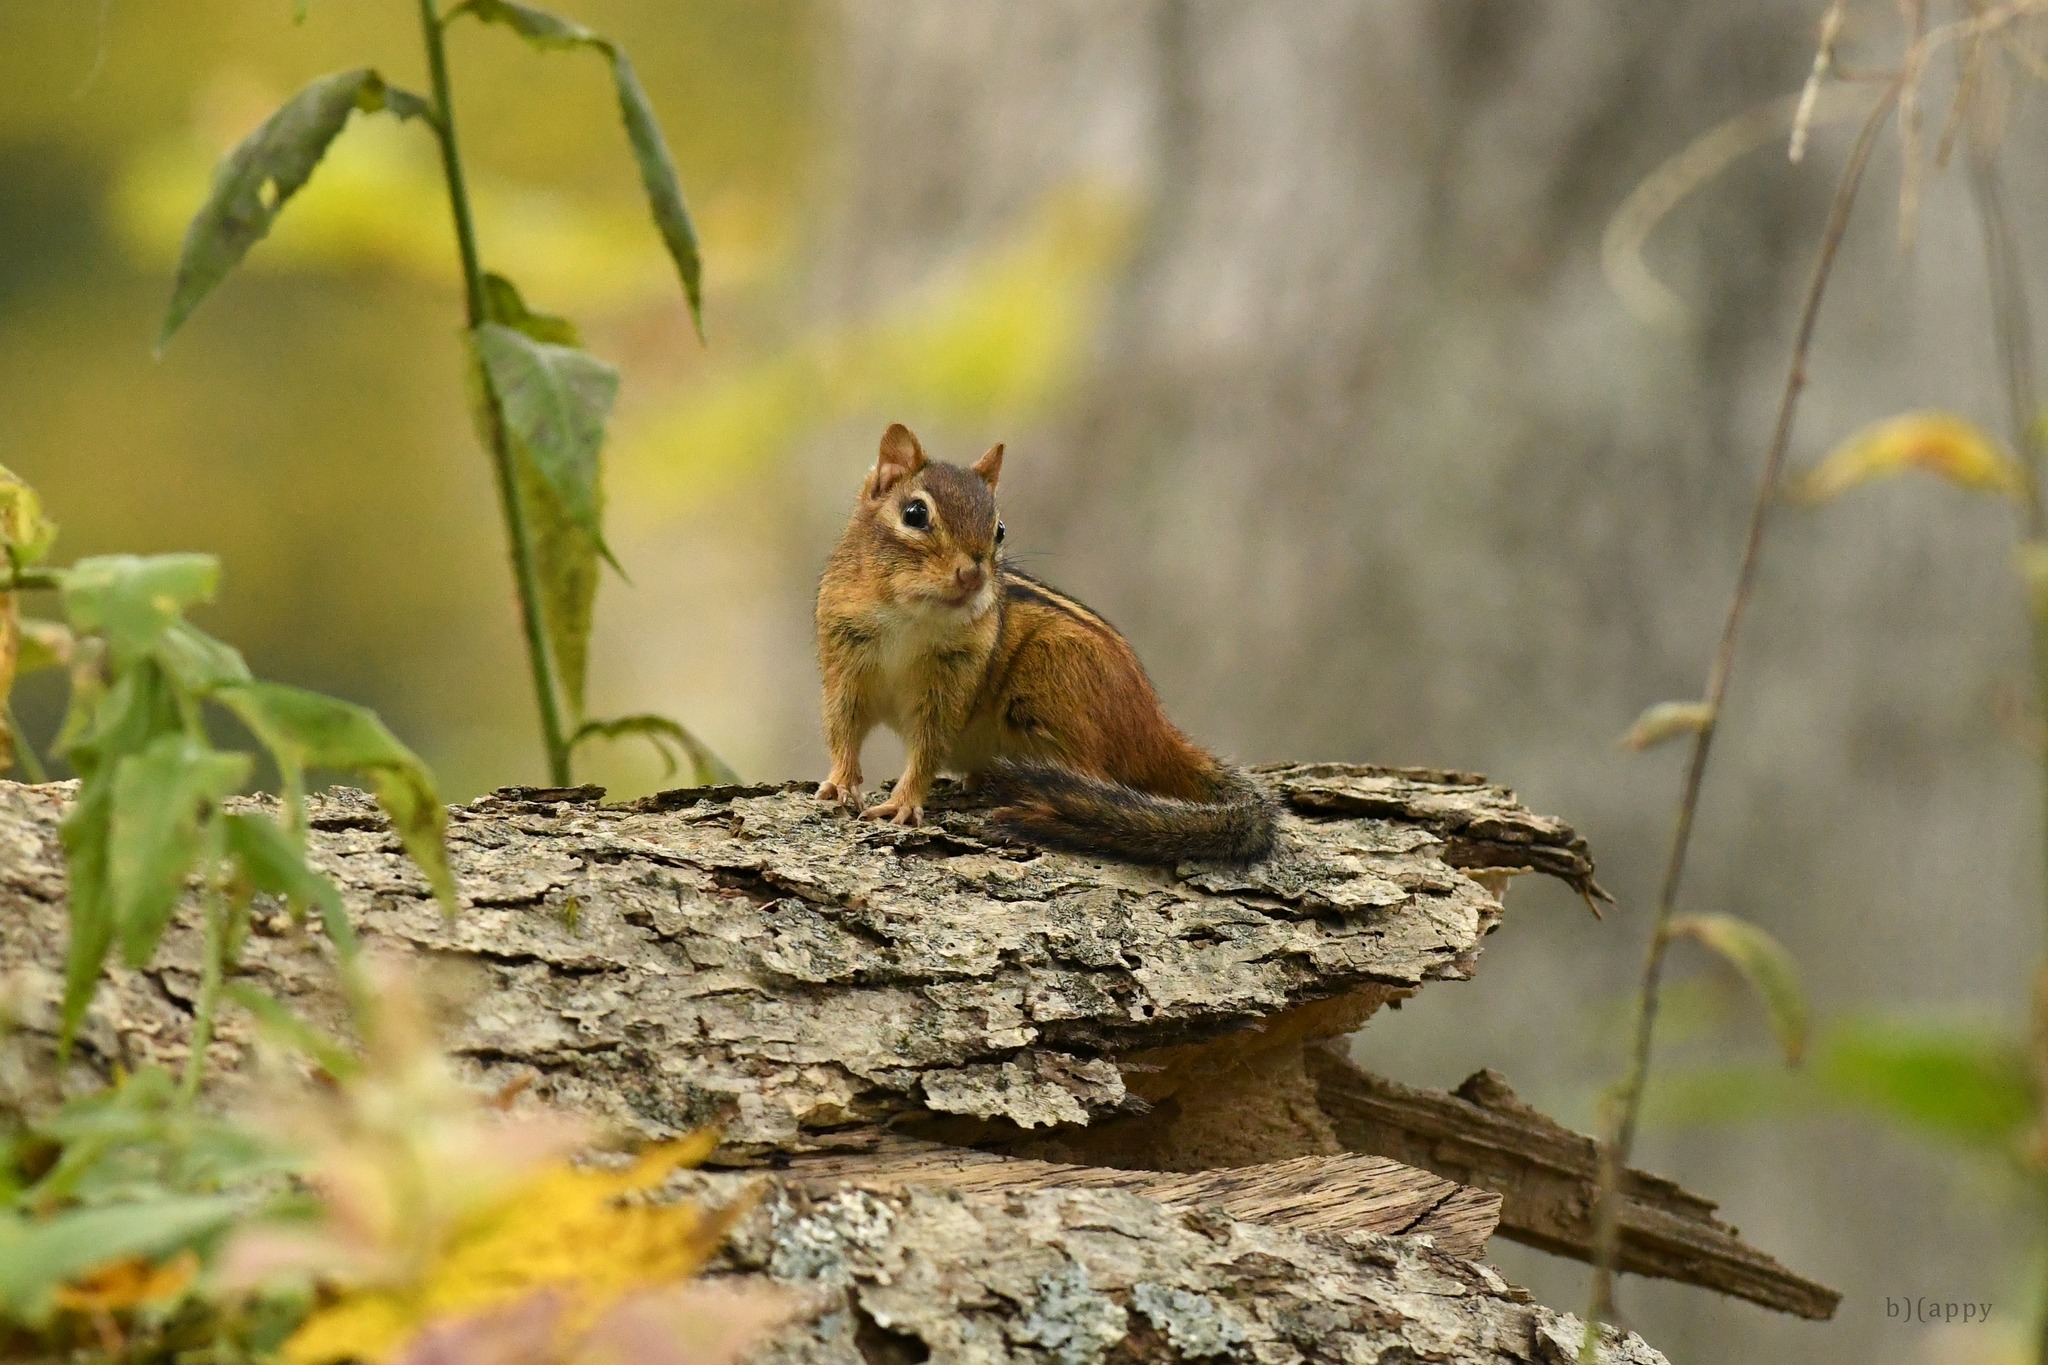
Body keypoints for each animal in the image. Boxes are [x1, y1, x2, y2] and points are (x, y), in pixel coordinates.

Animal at [813, 422, 1277, 864]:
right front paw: (839, 783)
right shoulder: (845, 662)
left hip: (1051, 687)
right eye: (914, 513)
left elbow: (928, 747)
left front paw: (904, 803)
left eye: (1000, 529)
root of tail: (1154, 729)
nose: (973, 574)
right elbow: (843, 730)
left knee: (1094, 783)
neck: (910, 618)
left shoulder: (951, 682)